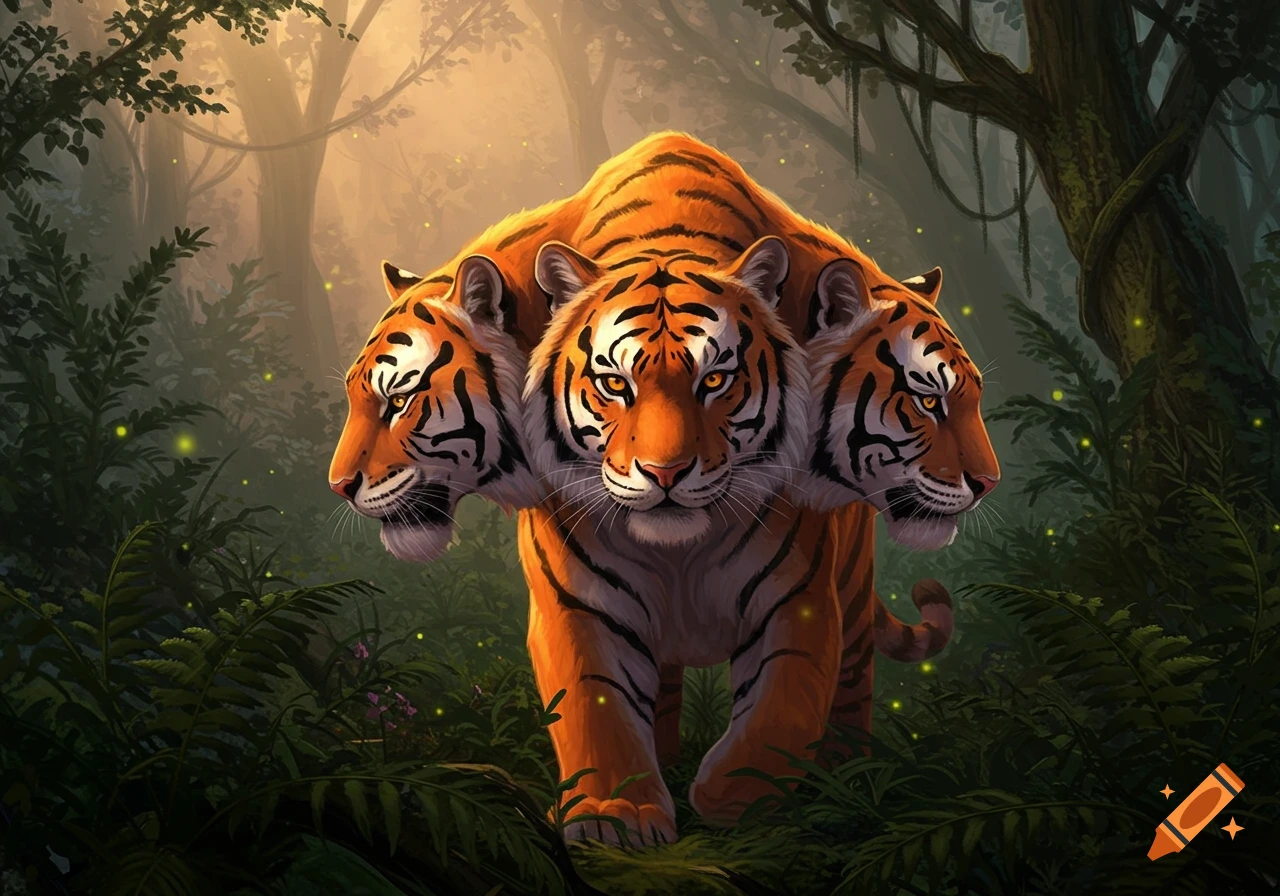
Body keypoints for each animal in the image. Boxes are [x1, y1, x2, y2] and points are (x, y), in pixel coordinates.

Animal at [516, 131, 995, 846]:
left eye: (715, 380)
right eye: (614, 384)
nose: (664, 473)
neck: (678, 553)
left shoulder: (800, 601)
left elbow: (780, 711)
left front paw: (735, 802)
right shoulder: (576, 605)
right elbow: (593, 705)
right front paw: (614, 814)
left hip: (853, 592)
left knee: (853, 686)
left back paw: (846, 780)